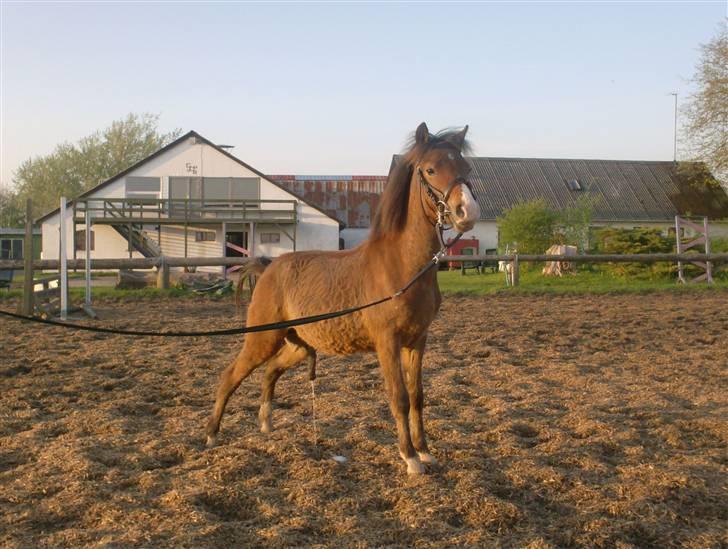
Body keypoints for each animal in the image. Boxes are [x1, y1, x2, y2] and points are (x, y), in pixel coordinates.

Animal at [206, 122, 478, 474]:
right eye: (431, 169)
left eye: (466, 168)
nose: (467, 212)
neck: (403, 266)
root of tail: (268, 266)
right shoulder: (387, 342)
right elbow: (399, 398)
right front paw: (409, 458)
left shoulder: (418, 340)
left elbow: (417, 396)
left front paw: (425, 451)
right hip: (263, 339)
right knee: (231, 376)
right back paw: (212, 435)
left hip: (297, 343)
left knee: (271, 371)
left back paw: (266, 425)